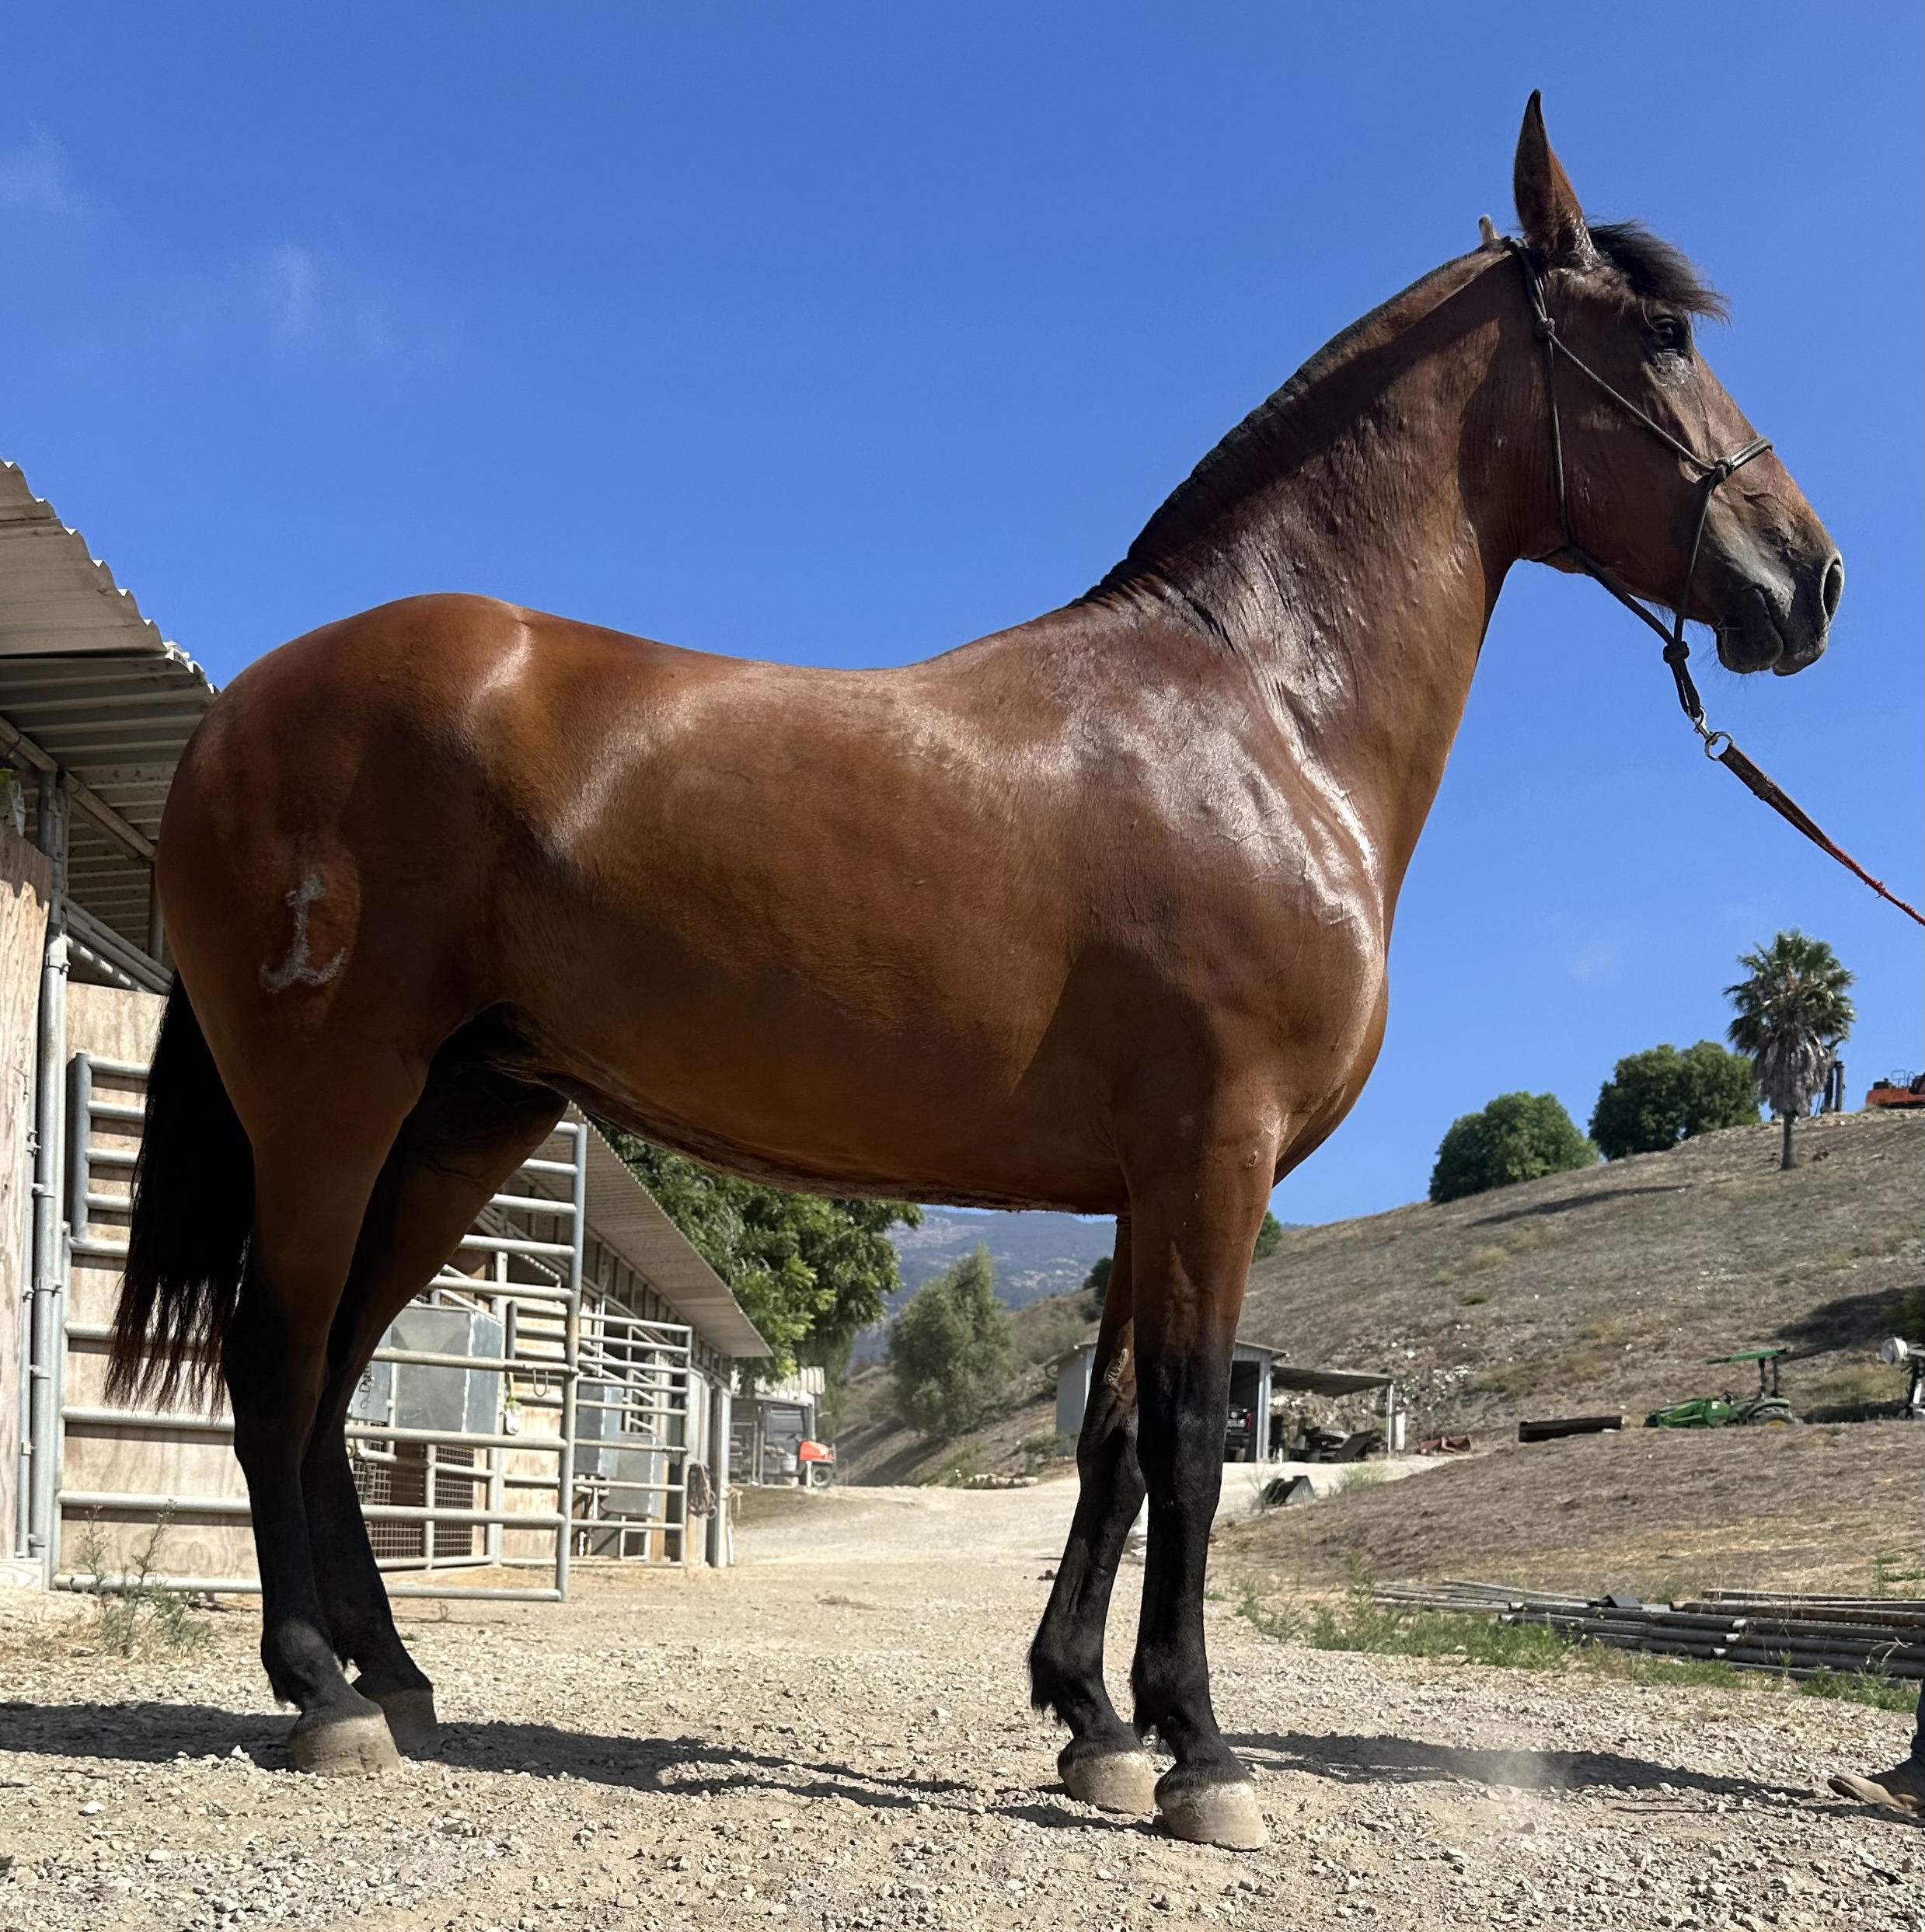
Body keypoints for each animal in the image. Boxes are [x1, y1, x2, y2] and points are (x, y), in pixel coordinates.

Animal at [111, 95, 1840, 1849]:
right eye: (1662, 336)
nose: (1808, 580)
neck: (1257, 713)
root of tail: (244, 712)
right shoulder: (1213, 1156)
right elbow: (1192, 1439)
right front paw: (1202, 1754)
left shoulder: (1149, 1182)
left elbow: (1113, 1439)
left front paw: (1093, 1721)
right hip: (333, 1108)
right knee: (278, 1361)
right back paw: (321, 1693)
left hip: (462, 1119)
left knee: (337, 1378)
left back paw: (395, 1679)